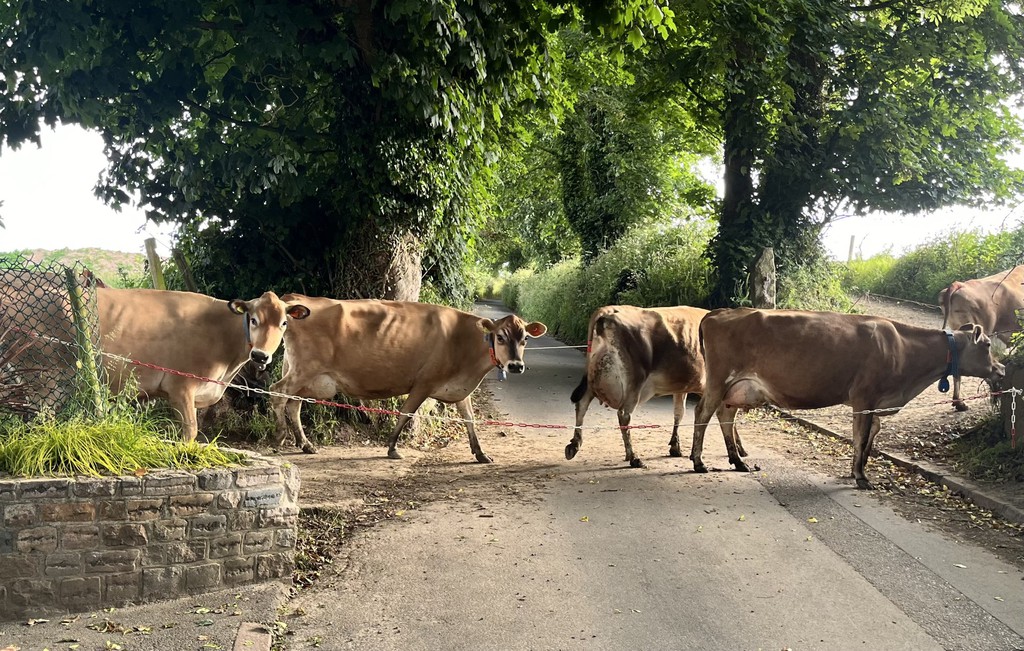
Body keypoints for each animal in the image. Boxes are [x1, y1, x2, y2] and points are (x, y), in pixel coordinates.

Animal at [269, 296, 547, 461]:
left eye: (525, 339)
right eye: (500, 337)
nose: (516, 366)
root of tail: (296, 299)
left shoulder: (460, 389)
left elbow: (470, 420)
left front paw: (480, 453)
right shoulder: (424, 382)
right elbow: (406, 413)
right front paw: (392, 447)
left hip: (305, 375)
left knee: (293, 403)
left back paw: (305, 444)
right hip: (304, 370)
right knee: (276, 393)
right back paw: (280, 438)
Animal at [563, 304, 743, 468]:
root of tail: (606, 311)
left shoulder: (681, 387)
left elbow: (679, 413)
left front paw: (675, 446)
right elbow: (726, 418)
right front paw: (739, 448)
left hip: (594, 376)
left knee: (582, 403)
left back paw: (574, 444)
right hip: (634, 381)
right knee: (623, 415)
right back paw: (633, 457)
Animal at [690, 308, 1004, 490]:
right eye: (988, 344)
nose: (1001, 369)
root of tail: (720, 312)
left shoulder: (874, 402)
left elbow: (867, 438)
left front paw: (857, 472)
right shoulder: (865, 397)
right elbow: (861, 437)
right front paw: (861, 477)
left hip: (738, 388)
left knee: (725, 416)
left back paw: (737, 461)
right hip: (719, 380)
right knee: (703, 414)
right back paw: (698, 461)